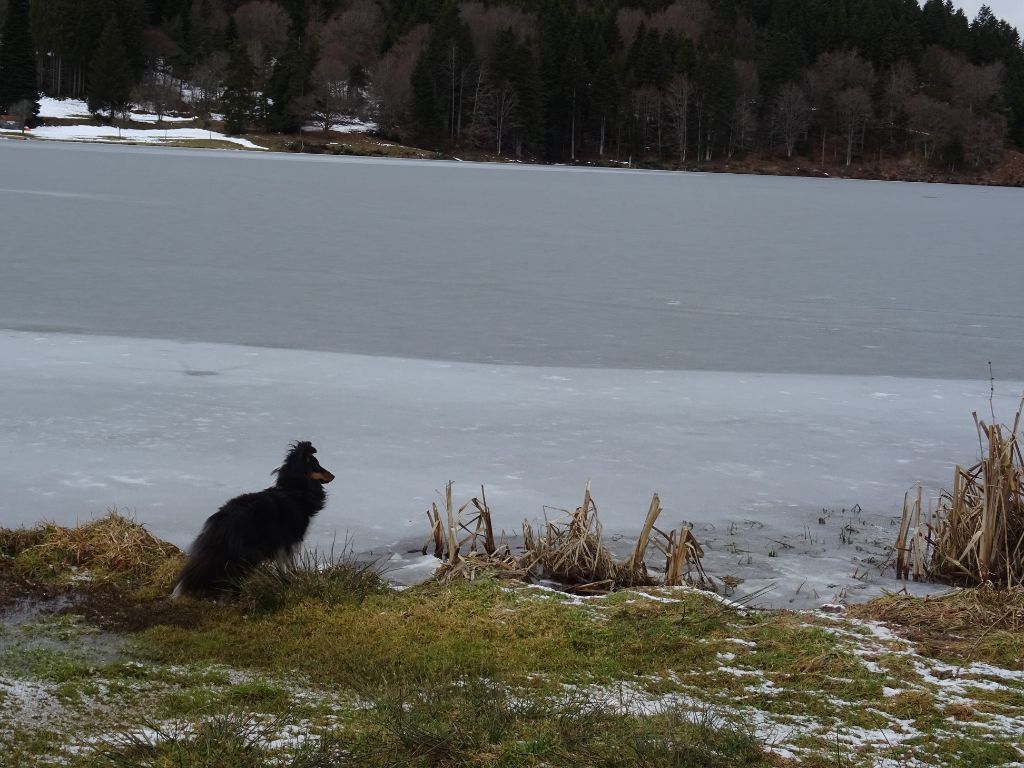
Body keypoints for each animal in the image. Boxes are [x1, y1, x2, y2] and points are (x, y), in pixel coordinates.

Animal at [173, 438, 335, 602]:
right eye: (317, 465)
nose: (334, 476)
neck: (294, 489)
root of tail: (224, 518)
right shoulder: (290, 540)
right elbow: (288, 564)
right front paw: (291, 581)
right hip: (246, 554)